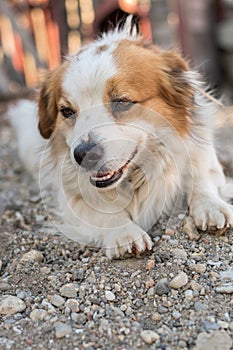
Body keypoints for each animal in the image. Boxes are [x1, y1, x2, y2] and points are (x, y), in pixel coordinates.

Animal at [8, 16, 233, 258]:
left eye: (122, 101)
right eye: (67, 111)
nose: (83, 155)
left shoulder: (202, 156)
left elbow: (200, 179)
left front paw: (211, 206)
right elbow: (101, 208)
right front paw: (123, 231)